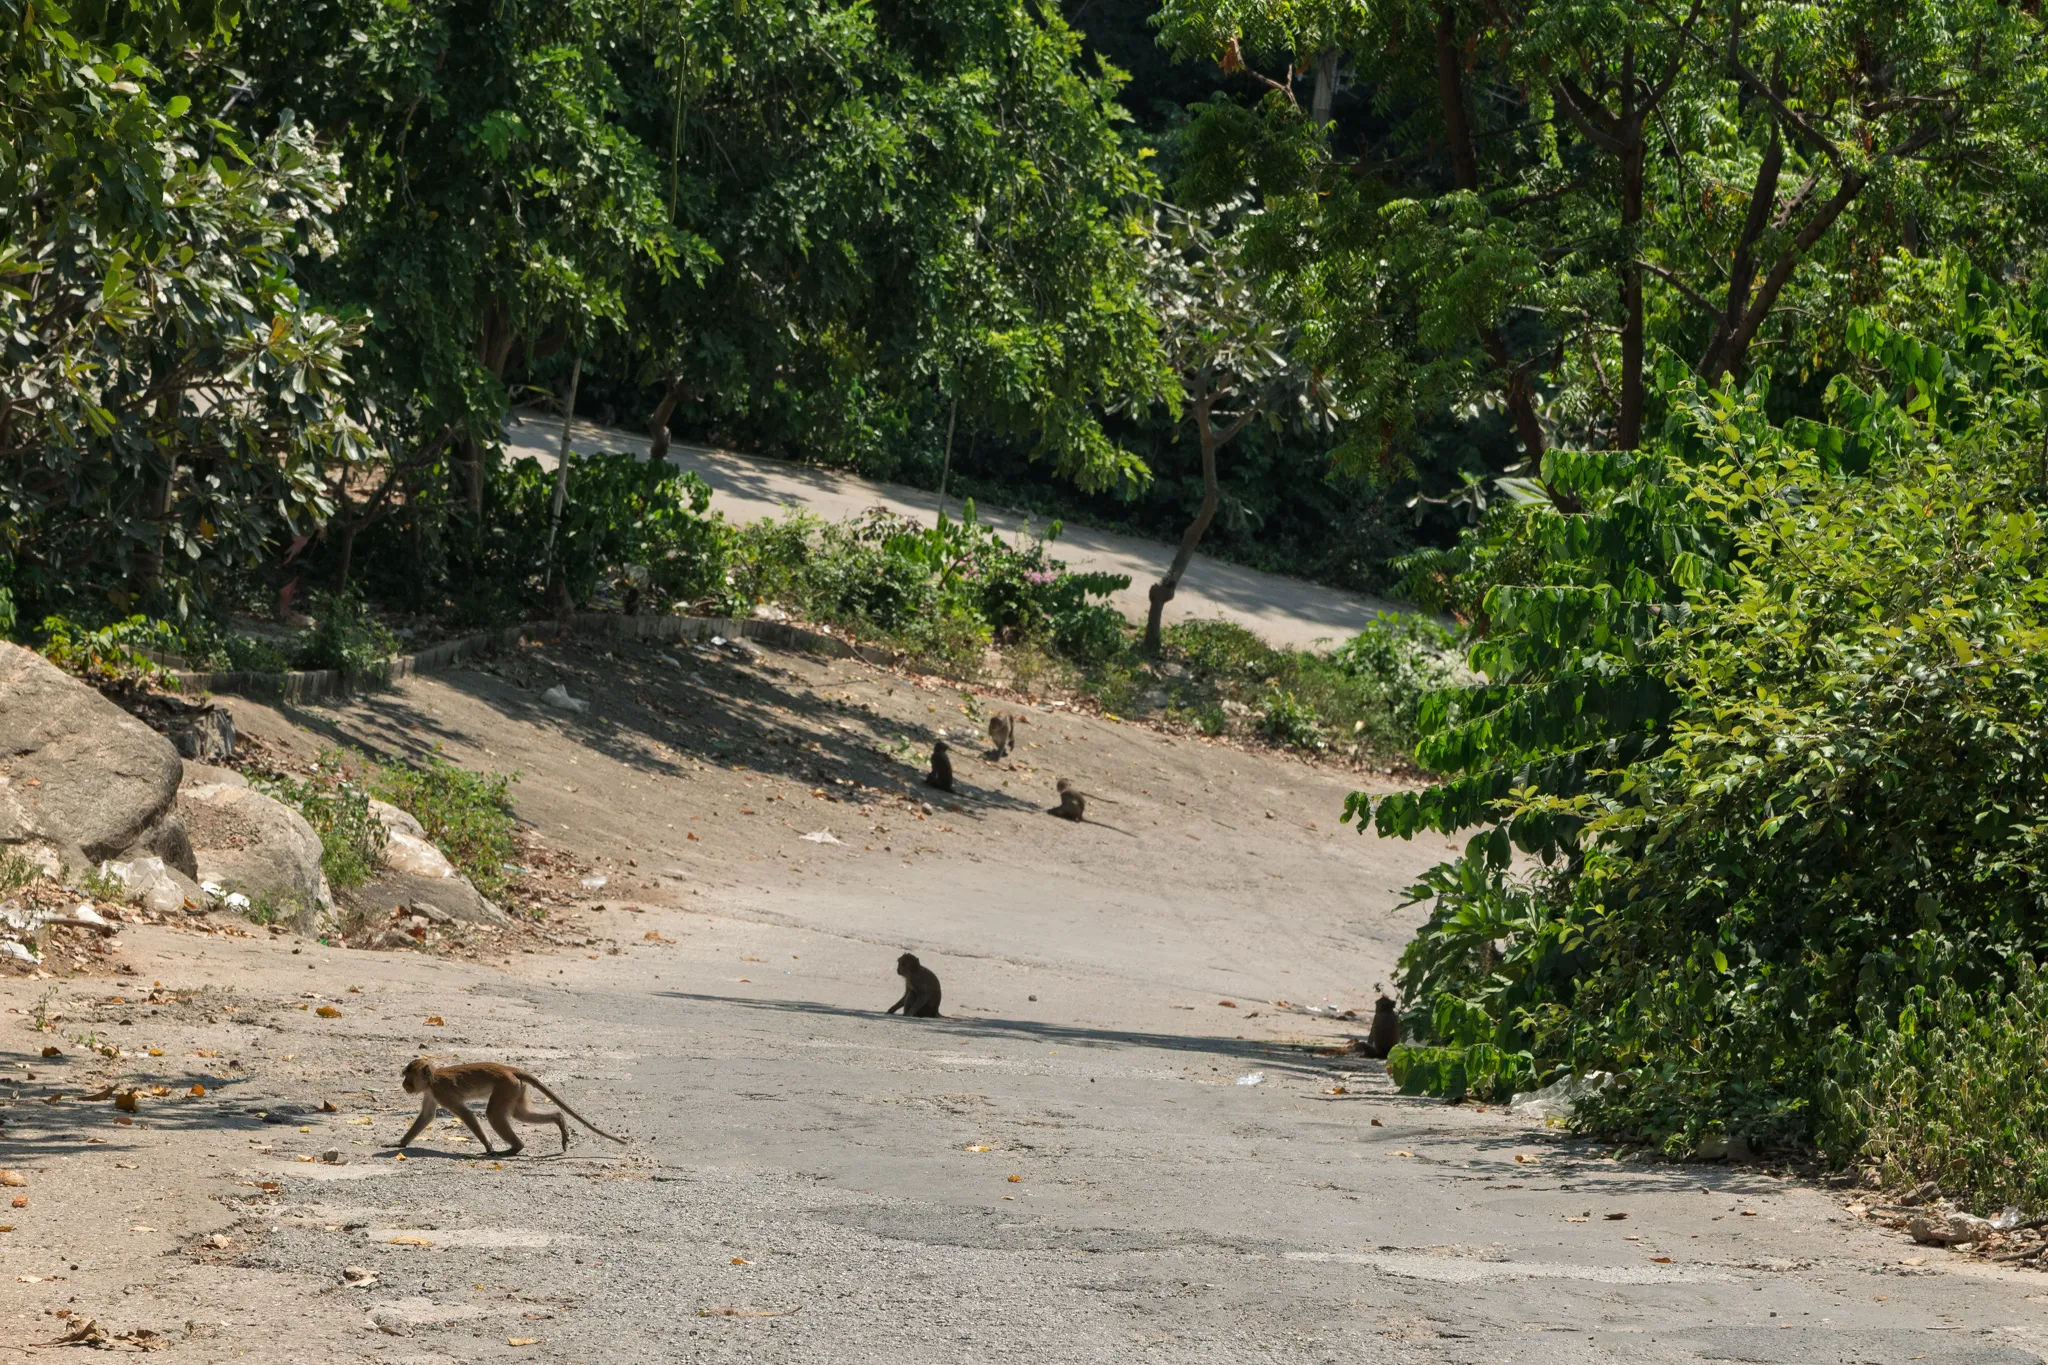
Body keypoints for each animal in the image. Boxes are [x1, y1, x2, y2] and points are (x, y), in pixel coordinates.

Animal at [398, 1057, 626, 1156]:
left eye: (408, 1077)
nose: (403, 1085)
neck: (432, 1080)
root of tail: (509, 1069)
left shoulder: (441, 1092)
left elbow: (465, 1113)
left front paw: (488, 1146)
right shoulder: (430, 1093)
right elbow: (426, 1116)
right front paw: (400, 1143)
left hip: (506, 1086)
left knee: (493, 1114)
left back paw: (515, 1148)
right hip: (517, 1089)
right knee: (520, 1113)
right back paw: (558, 1119)